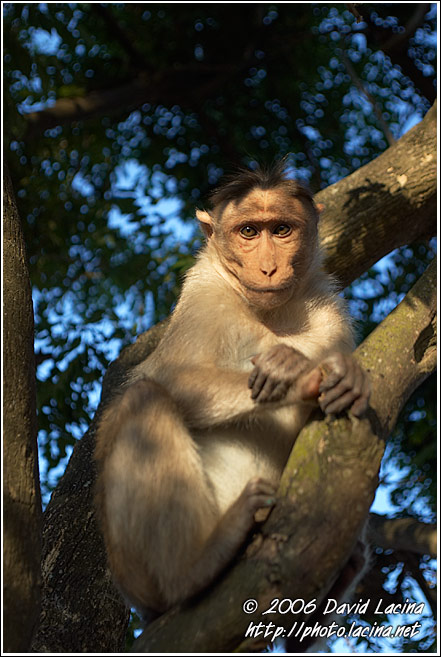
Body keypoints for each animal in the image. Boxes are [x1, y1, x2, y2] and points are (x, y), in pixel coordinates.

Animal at [94, 160, 370, 618]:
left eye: (281, 229)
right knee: (144, 398)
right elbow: (167, 377)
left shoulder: (331, 311)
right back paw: (195, 567)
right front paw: (300, 374)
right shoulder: (204, 297)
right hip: (134, 570)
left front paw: (343, 372)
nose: (269, 267)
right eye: (248, 232)